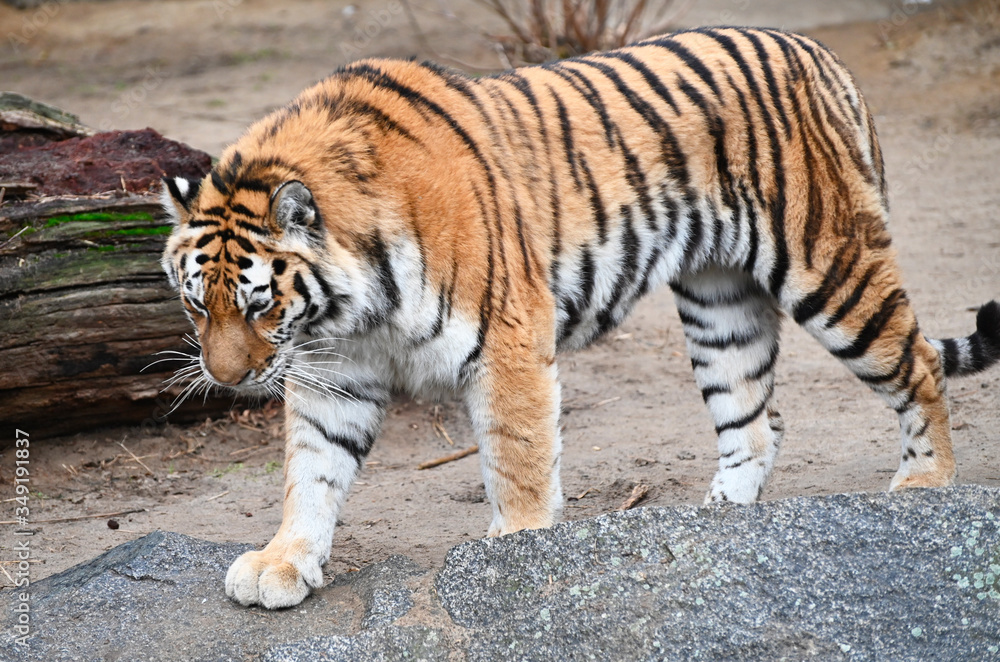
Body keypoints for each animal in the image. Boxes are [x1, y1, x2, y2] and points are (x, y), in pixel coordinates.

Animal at [160, 26, 1000, 609]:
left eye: (261, 304)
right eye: (198, 302)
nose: (226, 379)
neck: (348, 311)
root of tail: (819, 52)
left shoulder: (506, 339)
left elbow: (516, 455)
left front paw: (517, 547)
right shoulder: (334, 372)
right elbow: (311, 470)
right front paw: (282, 562)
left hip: (832, 269)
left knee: (919, 363)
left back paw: (925, 482)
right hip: (719, 301)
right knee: (756, 418)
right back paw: (718, 521)